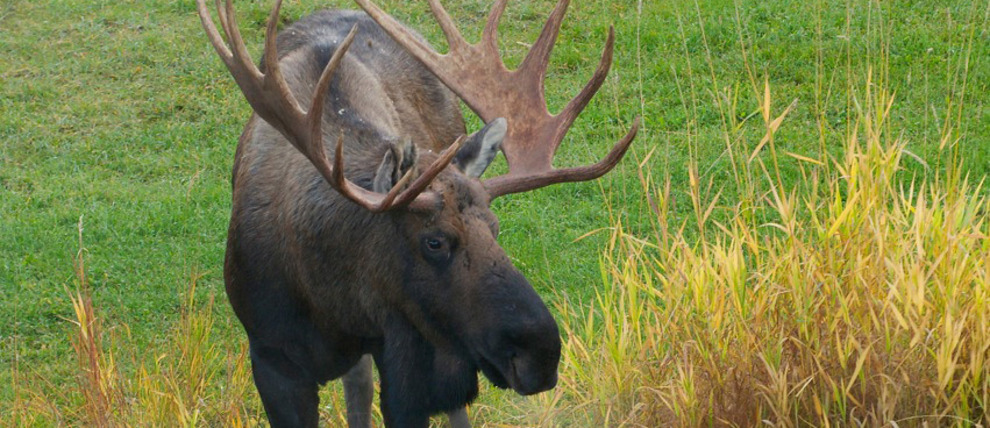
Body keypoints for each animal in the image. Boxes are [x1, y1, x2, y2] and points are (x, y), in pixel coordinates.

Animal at [196, 0, 638, 426]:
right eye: (434, 241)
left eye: (495, 229)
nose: (541, 354)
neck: (330, 301)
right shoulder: (271, 359)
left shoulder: (413, 357)